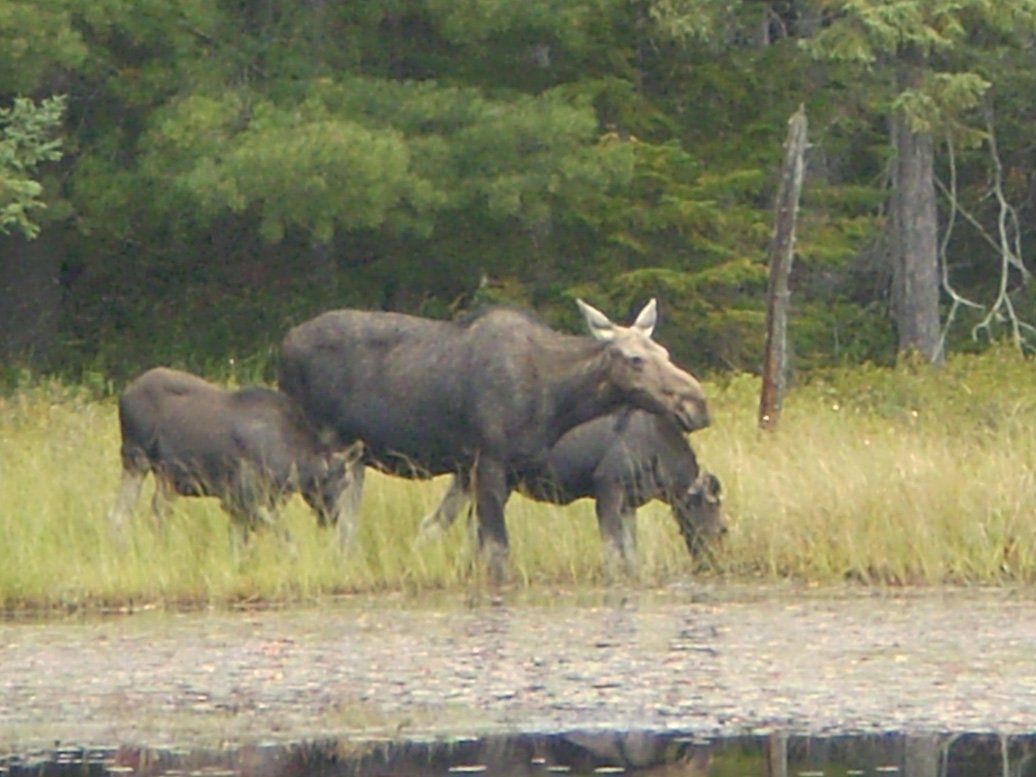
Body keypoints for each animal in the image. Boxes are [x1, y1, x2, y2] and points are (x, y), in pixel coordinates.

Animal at [108, 368, 360, 547]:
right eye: (328, 482)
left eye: (347, 482)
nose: (333, 517)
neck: (294, 466)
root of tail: (124, 394)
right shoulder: (238, 498)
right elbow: (282, 537)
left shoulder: (264, 501)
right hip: (135, 458)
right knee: (119, 513)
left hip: (166, 477)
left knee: (157, 511)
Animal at [416, 410, 725, 576]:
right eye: (723, 529)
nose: (711, 564)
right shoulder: (608, 484)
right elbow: (612, 546)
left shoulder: (629, 502)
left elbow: (630, 550)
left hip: (470, 479)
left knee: (443, 523)